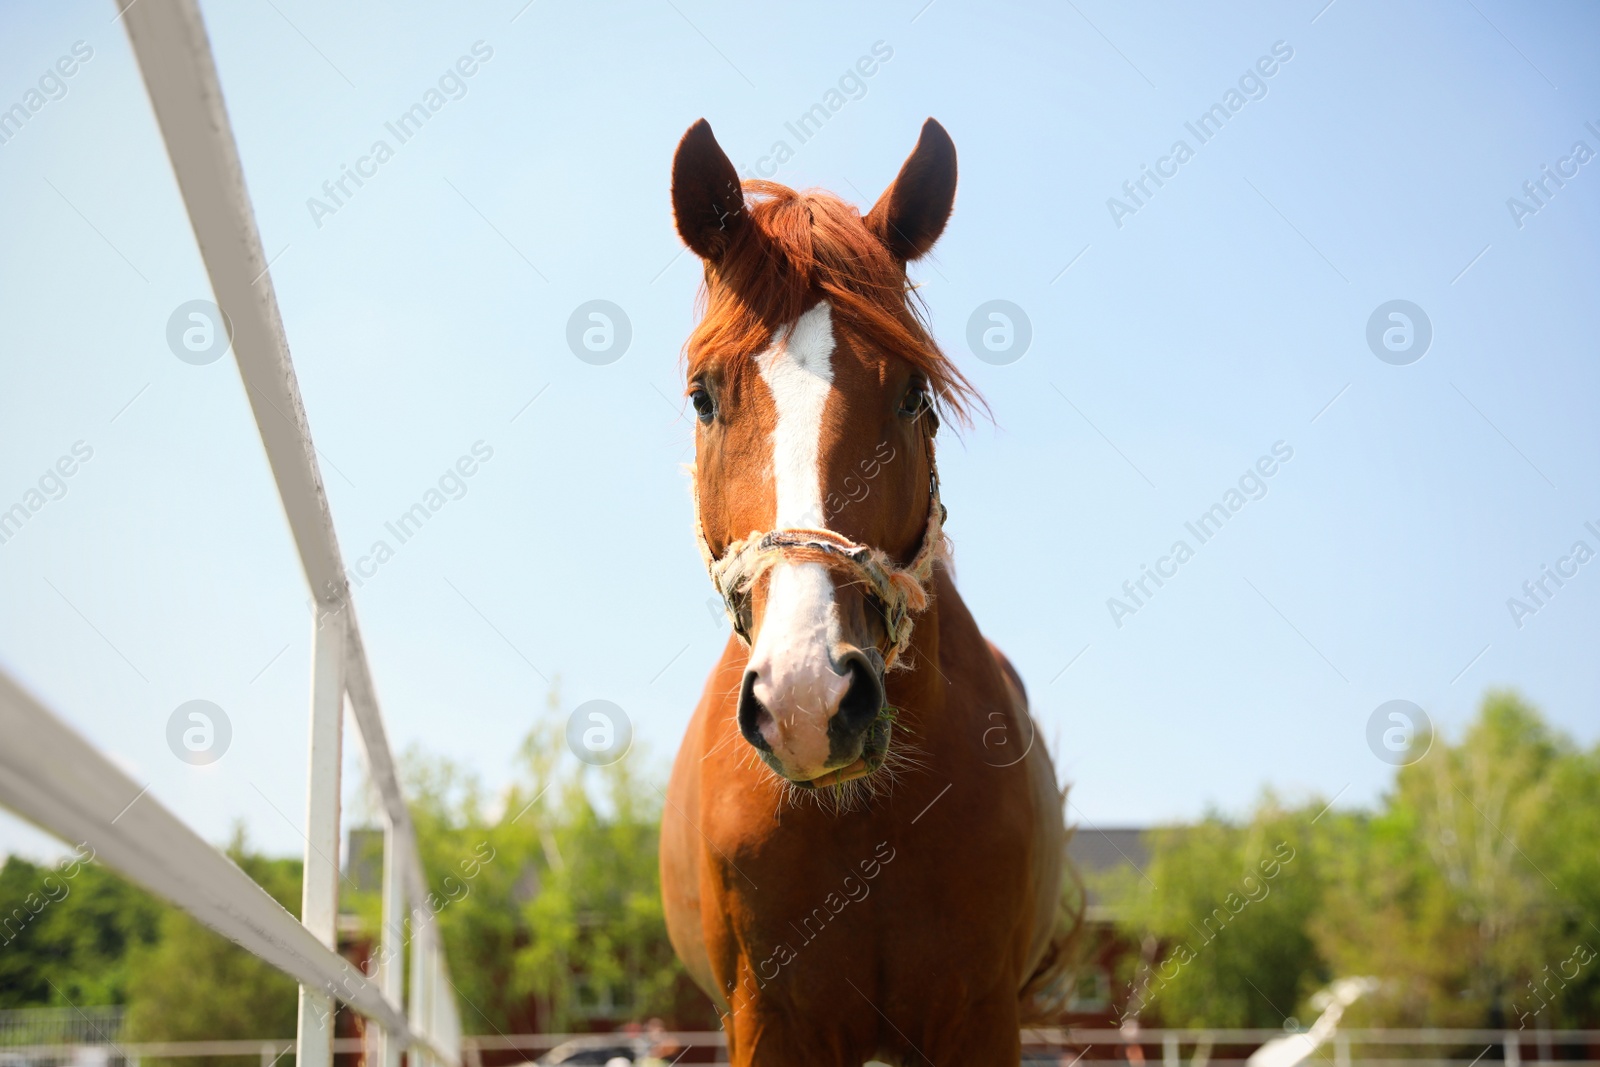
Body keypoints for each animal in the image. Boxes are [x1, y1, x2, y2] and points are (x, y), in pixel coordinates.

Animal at [662, 119, 1075, 1067]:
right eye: (702, 397)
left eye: (915, 394)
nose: (808, 697)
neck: (864, 820)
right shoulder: (769, 1018)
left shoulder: (979, 1014)